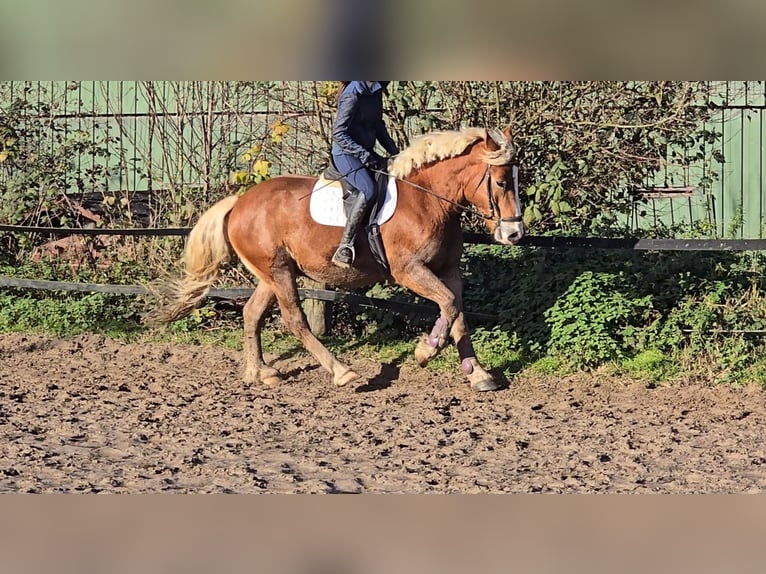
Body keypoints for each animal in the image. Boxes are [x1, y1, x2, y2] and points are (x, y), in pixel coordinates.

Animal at [147, 127, 524, 392]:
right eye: (502, 183)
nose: (514, 234)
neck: (428, 199)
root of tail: (239, 202)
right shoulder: (409, 271)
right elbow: (447, 305)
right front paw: (426, 352)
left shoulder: (449, 271)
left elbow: (457, 314)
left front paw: (478, 374)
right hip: (280, 272)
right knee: (295, 320)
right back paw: (341, 372)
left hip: (273, 273)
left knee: (252, 312)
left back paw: (260, 372)